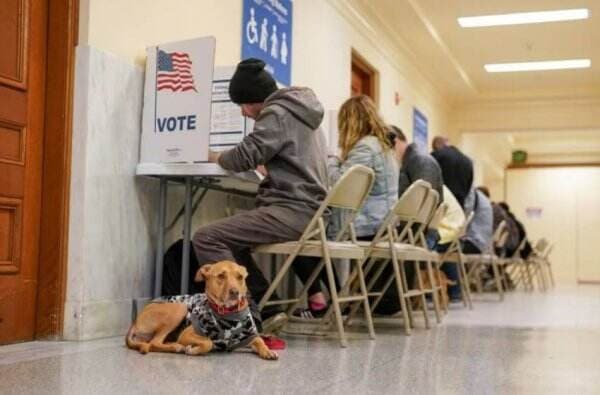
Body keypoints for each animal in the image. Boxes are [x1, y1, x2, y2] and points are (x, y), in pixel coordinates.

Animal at [127, 262, 278, 360]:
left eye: (240, 277)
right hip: (179, 308)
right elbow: (208, 342)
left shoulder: (249, 336)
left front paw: (268, 351)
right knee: (154, 342)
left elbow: (260, 340)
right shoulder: (186, 334)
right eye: (221, 276)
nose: (235, 292)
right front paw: (194, 350)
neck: (228, 314)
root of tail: (136, 321)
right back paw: (177, 347)